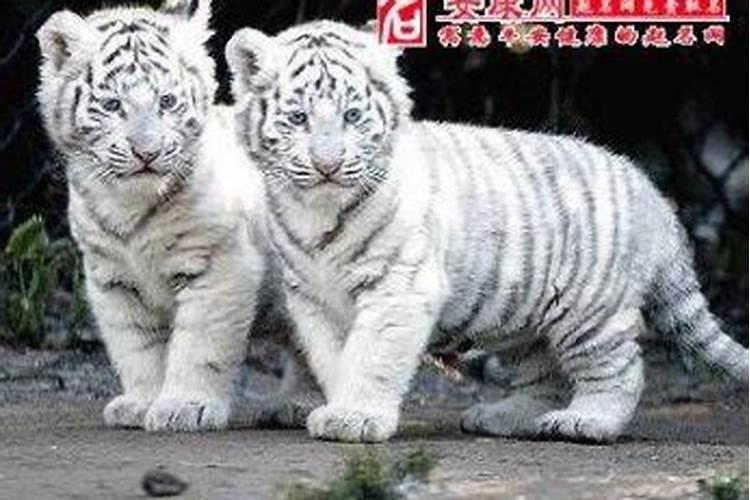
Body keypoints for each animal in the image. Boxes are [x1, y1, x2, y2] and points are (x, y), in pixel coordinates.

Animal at [35, 0, 272, 432]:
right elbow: (136, 346)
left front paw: (186, 407)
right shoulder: (112, 279)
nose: (147, 152)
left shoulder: (220, 263)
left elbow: (200, 342)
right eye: (112, 105)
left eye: (167, 102)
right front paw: (140, 403)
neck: (130, 206)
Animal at [225, 20, 749, 443]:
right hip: (523, 316)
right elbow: (333, 358)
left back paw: (587, 422)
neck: (316, 213)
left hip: (588, 310)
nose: (328, 165)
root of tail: (651, 193)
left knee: (619, 370)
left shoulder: (400, 288)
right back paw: (505, 416)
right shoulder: (314, 297)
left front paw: (355, 417)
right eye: (298, 119)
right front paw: (336, 406)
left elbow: (373, 355)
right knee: (544, 375)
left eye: (352, 117)